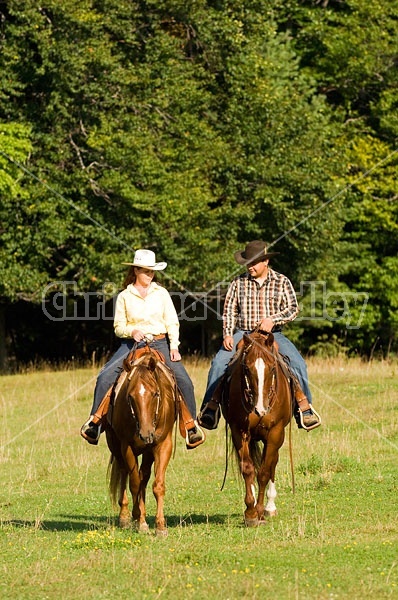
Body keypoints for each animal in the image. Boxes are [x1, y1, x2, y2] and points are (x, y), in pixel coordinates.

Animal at [105, 350, 176, 536]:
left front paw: (160, 526)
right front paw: (140, 520)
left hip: (148, 451)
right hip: (116, 447)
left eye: (156, 394)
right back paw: (125, 517)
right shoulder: (127, 447)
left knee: (144, 476)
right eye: (130, 396)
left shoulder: (163, 445)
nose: (145, 434)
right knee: (126, 473)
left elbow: (157, 485)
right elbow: (134, 484)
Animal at [221, 330, 292, 528]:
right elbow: (248, 469)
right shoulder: (239, 431)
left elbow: (265, 472)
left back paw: (270, 507)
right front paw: (250, 512)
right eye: (246, 368)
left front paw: (260, 511)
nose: (260, 409)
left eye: (273, 368)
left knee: (273, 464)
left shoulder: (275, 433)